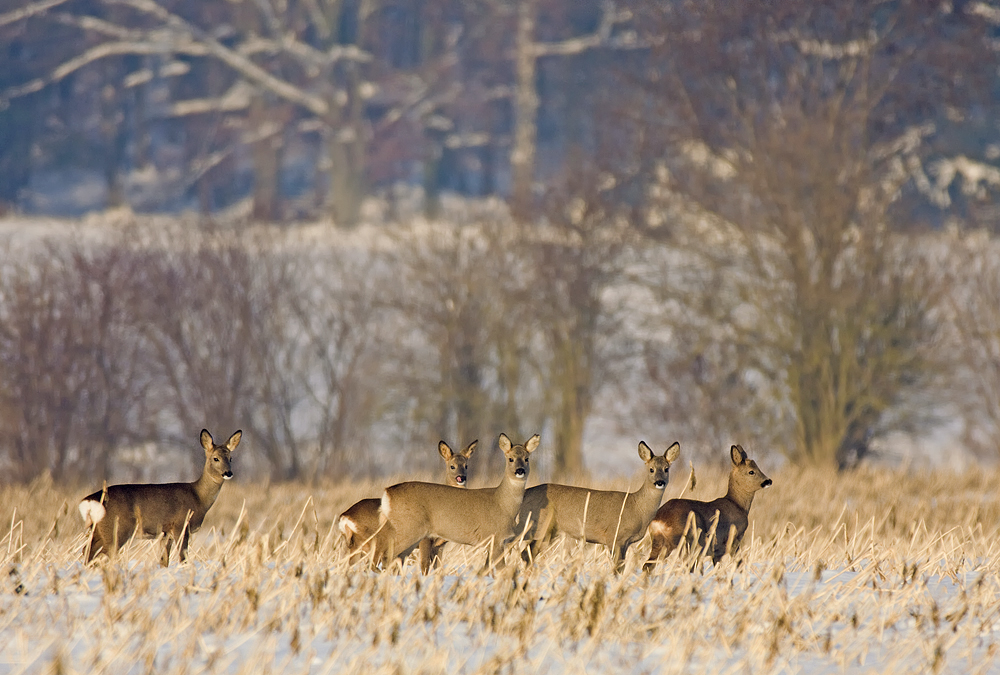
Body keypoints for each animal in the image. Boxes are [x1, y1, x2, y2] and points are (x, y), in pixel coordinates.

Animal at [80, 430, 240, 568]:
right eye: (215, 458)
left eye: (231, 458)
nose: (228, 473)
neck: (198, 497)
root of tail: (90, 500)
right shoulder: (181, 525)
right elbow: (183, 558)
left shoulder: (165, 533)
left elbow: (164, 561)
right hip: (117, 528)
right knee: (101, 554)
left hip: (99, 529)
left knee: (87, 551)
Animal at [338, 438, 478, 572]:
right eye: (452, 466)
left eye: (466, 466)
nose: (461, 478)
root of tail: (344, 517)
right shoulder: (425, 539)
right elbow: (425, 566)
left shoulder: (440, 545)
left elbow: (438, 568)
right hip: (376, 540)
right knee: (370, 565)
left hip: (357, 545)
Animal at [376, 436, 540, 572]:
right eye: (510, 459)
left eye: (527, 458)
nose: (520, 470)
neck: (502, 504)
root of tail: (387, 493)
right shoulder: (495, 538)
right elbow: (501, 571)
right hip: (409, 528)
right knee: (388, 557)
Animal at [516, 440, 680, 572]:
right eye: (651, 469)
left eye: (666, 469)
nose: (660, 482)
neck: (636, 507)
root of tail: (525, 493)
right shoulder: (614, 537)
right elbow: (617, 568)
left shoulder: (625, 543)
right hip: (538, 526)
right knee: (525, 553)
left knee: (527, 553)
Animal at [640, 446, 772, 572]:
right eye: (751, 471)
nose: (768, 481)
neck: (737, 504)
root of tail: (659, 521)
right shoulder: (732, 539)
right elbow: (738, 564)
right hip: (686, 542)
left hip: (659, 543)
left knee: (647, 565)